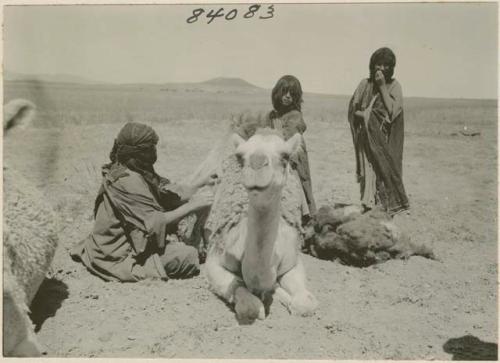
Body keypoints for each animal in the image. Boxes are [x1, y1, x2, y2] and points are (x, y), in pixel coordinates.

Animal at [202, 128, 316, 324]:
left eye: (285, 156)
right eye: (240, 156)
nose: (256, 164)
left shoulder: (293, 261)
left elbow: (305, 304)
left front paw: (284, 296)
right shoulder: (214, 262)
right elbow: (248, 306)